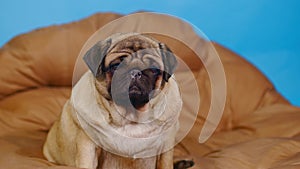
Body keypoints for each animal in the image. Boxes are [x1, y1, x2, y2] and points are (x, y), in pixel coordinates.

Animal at [43, 33, 191, 169]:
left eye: (154, 69)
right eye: (116, 65)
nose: (136, 72)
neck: (131, 115)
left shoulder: (166, 144)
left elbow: (165, 163)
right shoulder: (88, 145)